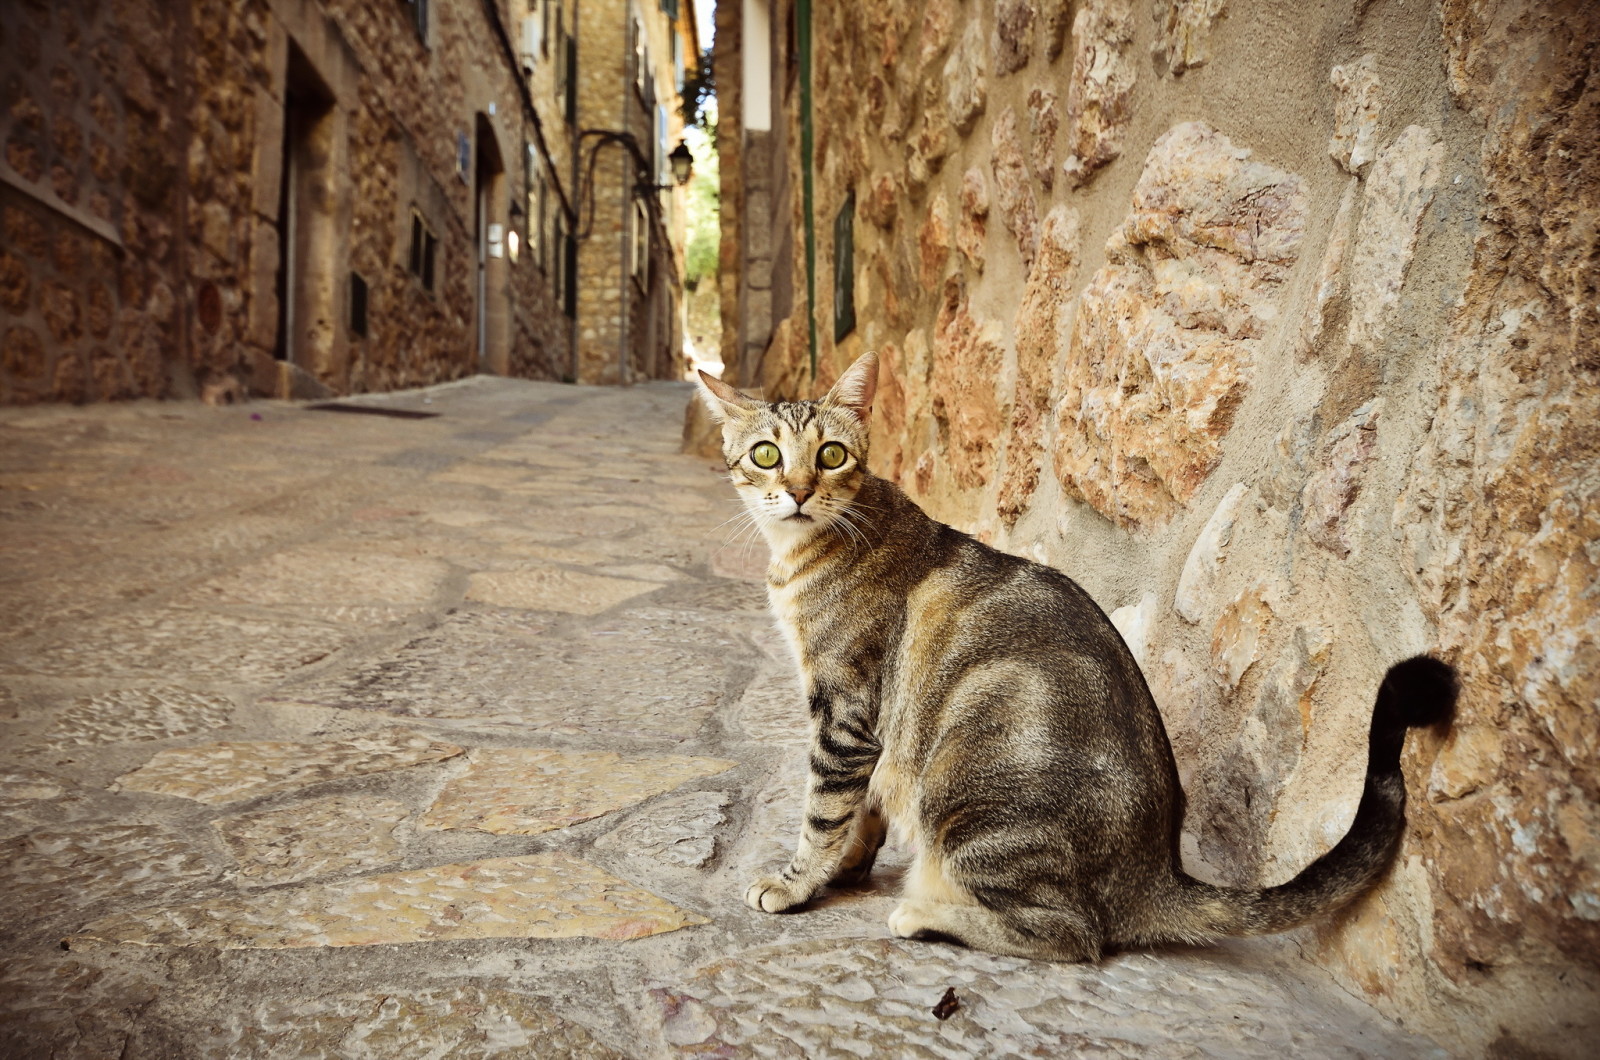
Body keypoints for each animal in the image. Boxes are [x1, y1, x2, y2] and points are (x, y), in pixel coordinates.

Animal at [694, 352, 1459, 960]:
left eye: (830, 455)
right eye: (767, 454)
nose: (798, 491)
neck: (804, 555)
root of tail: (1158, 875)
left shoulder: (846, 710)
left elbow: (824, 814)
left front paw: (798, 883)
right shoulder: (865, 732)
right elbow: (863, 810)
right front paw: (845, 869)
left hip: (971, 784)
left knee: (1072, 934)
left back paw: (924, 913)